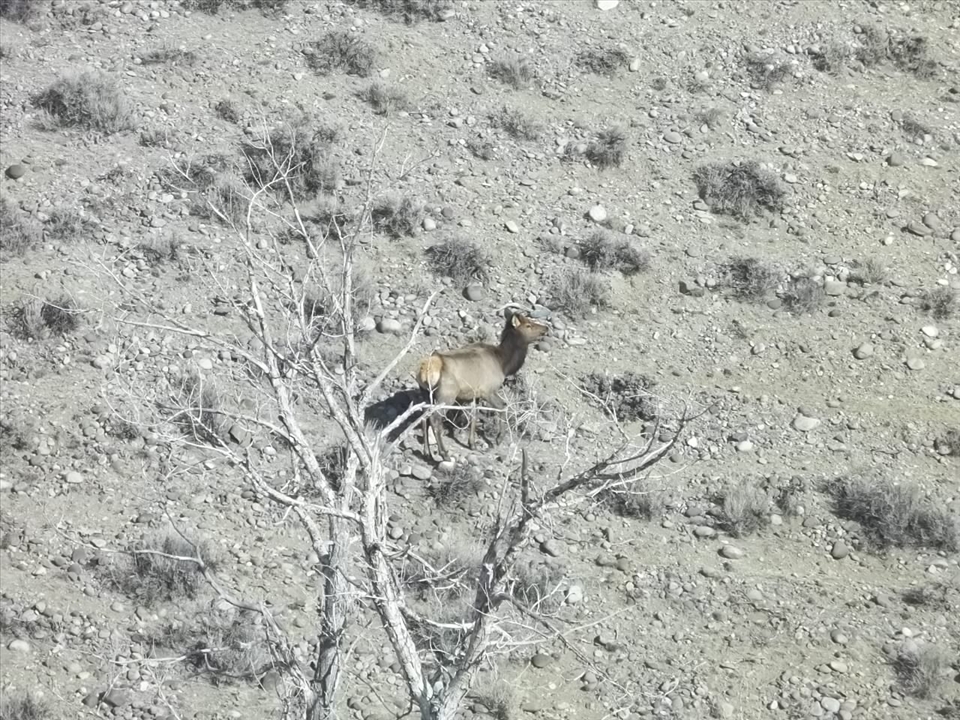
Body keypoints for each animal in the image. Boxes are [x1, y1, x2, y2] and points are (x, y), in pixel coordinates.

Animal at [416, 309, 549, 461]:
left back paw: (427, 452)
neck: (504, 364)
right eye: (528, 325)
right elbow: (503, 406)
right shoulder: (488, 390)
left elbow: (474, 415)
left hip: (426, 394)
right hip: (446, 395)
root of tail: (425, 370)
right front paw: (499, 438)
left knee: (423, 417)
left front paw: (472, 444)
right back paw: (444, 453)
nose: (546, 328)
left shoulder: (474, 395)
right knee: (434, 419)